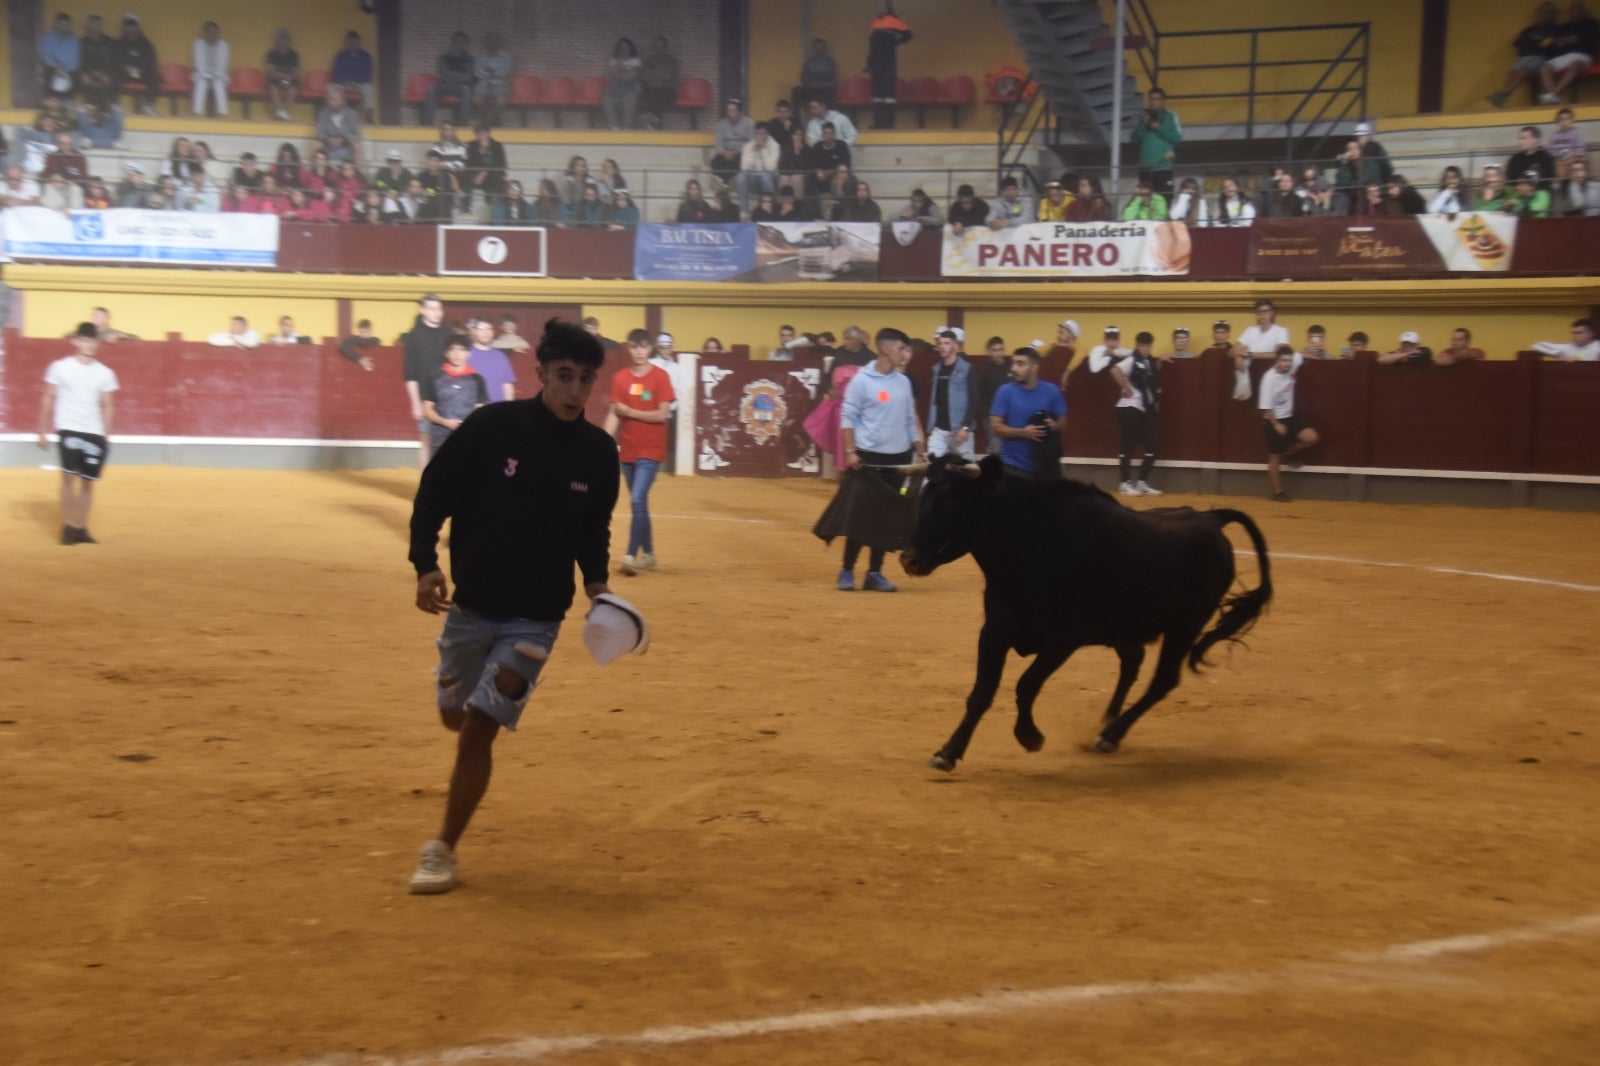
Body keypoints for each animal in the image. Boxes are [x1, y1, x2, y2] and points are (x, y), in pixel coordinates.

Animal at [902, 451, 1273, 768]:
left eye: (952, 501)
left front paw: (1030, 736)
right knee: (1133, 663)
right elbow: (980, 693)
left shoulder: (1063, 640)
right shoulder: (994, 631)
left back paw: (1110, 735)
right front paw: (948, 752)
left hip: (1186, 626)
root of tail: (1211, 517)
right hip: (1128, 629)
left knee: (1163, 679)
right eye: (923, 495)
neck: (1029, 547)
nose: (909, 560)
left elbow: (1026, 684)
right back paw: (1106, 722)